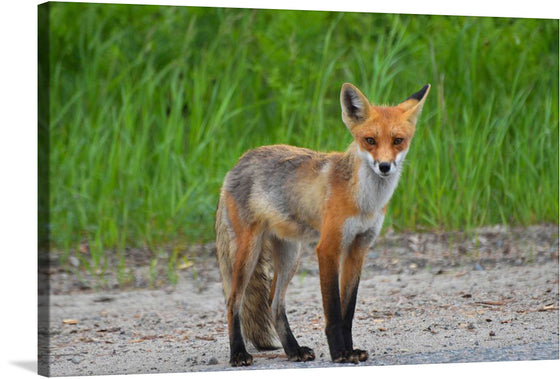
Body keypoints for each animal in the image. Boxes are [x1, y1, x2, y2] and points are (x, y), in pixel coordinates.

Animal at [214, 81, 428, 366]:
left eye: (398, 141)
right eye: (370, 140)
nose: (384, 166)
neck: (364, 201)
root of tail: (236, 164)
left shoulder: (358, 249)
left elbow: (348, 311)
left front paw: (351, 350)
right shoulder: (328, 247)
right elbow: (334, 310)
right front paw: (339, 353)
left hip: (290, 255)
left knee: (274, 304)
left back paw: (293, 350)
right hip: (248, 253)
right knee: (232, 302)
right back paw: (238, 353)